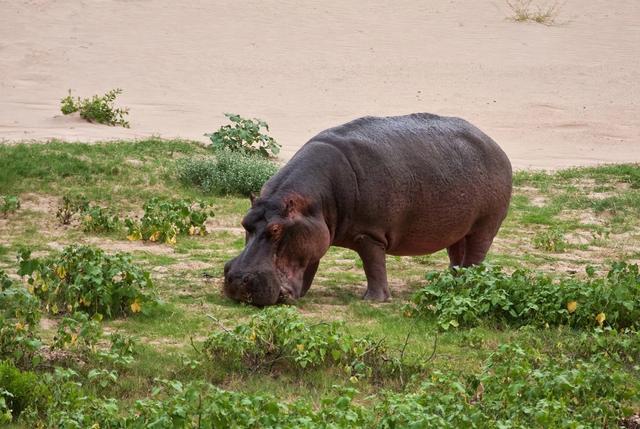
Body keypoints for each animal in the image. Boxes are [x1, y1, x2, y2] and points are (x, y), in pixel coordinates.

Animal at [222, 112, 512, 306]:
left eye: (275, 229)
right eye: (244, 222)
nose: (236, 280)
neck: (314, 201)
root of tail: (495, 144)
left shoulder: (369, 234)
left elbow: (373, 265)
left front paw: (374, 300)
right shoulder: (313, 231)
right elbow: (310, 263)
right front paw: (303, 292)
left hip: (485, 226)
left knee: (476, 255)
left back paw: (466, 287)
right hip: (457, 228)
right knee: (456, 254)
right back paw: (449, 284)